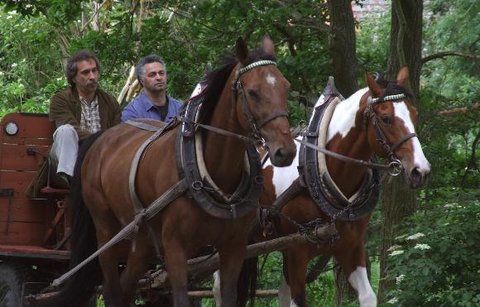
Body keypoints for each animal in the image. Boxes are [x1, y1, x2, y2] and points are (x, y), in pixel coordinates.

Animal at [39, 36, 296, 307]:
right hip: (106, 230)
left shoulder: (234, 246)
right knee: (111, 288)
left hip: (142, 238)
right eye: (253, 92)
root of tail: (100, 138)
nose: (285, 151)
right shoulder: (175, 246)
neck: (208, 172)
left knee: (126, 286)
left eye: (285, 87)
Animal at [256, 68, 434, 307]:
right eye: (386, 118)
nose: (420, 170)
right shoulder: (295, 253)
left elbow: (368, 296)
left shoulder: (351, 248)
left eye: (414, 114)